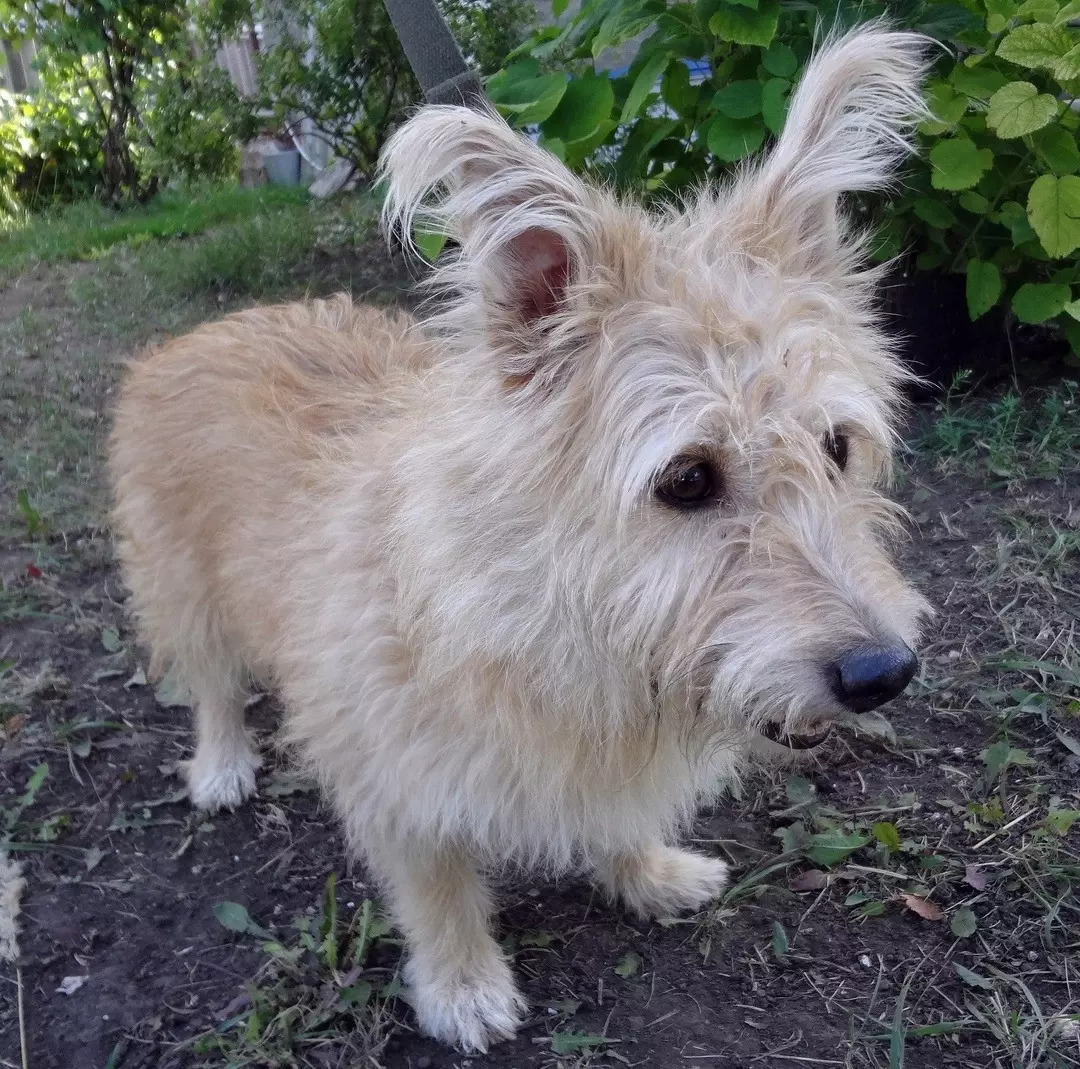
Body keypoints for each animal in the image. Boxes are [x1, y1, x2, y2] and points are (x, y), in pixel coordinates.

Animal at [113, 25, 933, 1053]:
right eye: (687, 478)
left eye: (836, 447)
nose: (883, 672)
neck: (546, 608)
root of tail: (204, 329)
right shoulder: (395, 772)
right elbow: (436, 886)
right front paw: (463, 983)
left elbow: (616, 817)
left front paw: (647, 869)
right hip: (182, 584)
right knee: (212, 682)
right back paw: (222, 761)